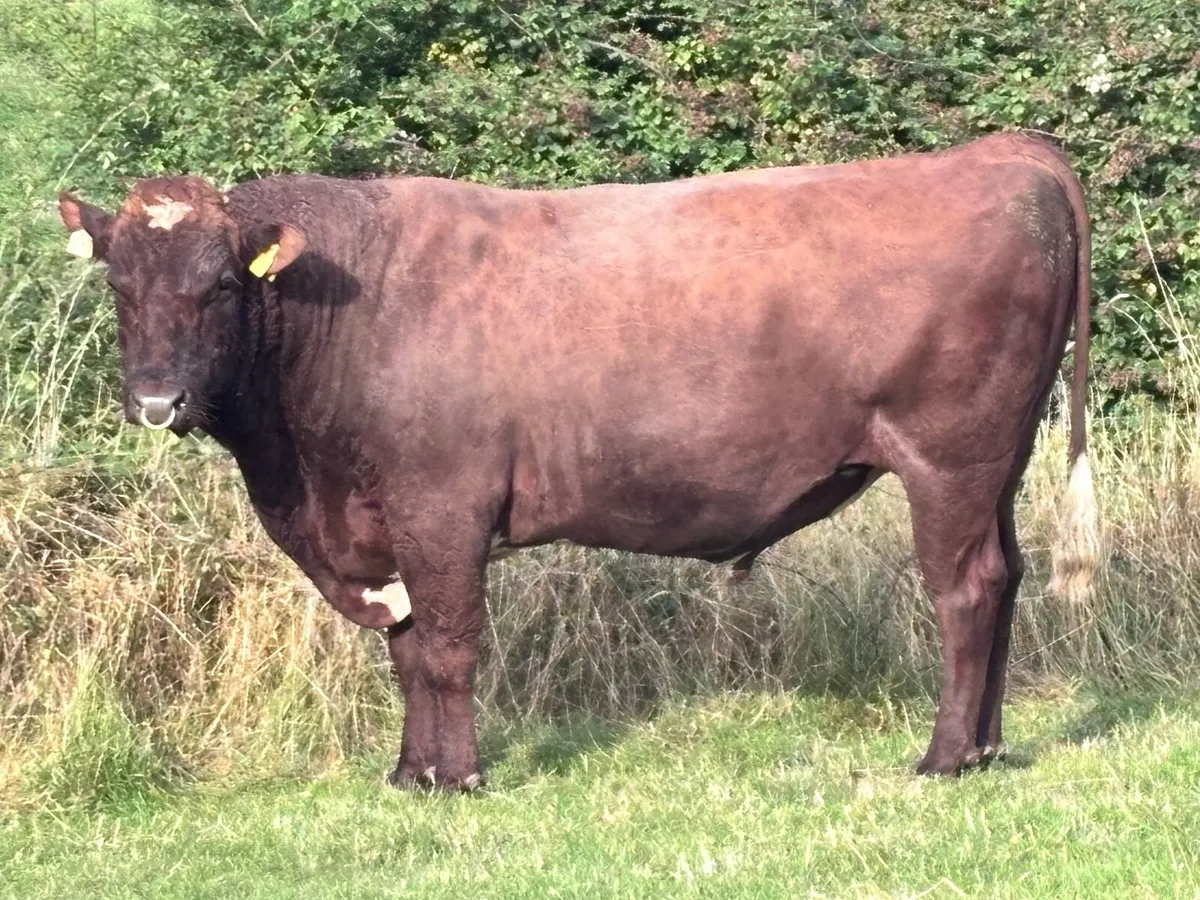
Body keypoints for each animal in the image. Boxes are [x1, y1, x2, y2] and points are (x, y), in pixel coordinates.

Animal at [58, 132, 1096, 789]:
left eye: (221, 285)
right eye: (119, 284)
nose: (157, 400)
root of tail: (1000, 152)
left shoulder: (441, 509)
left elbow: (447, 647)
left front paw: (457, 777)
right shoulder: (382, 525)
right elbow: (405, 652)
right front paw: (408, 772)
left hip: (949, 460)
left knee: (963, 591)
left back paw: (943, 757)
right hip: (1000, 465)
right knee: (1004, 579)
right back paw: (988, 748)